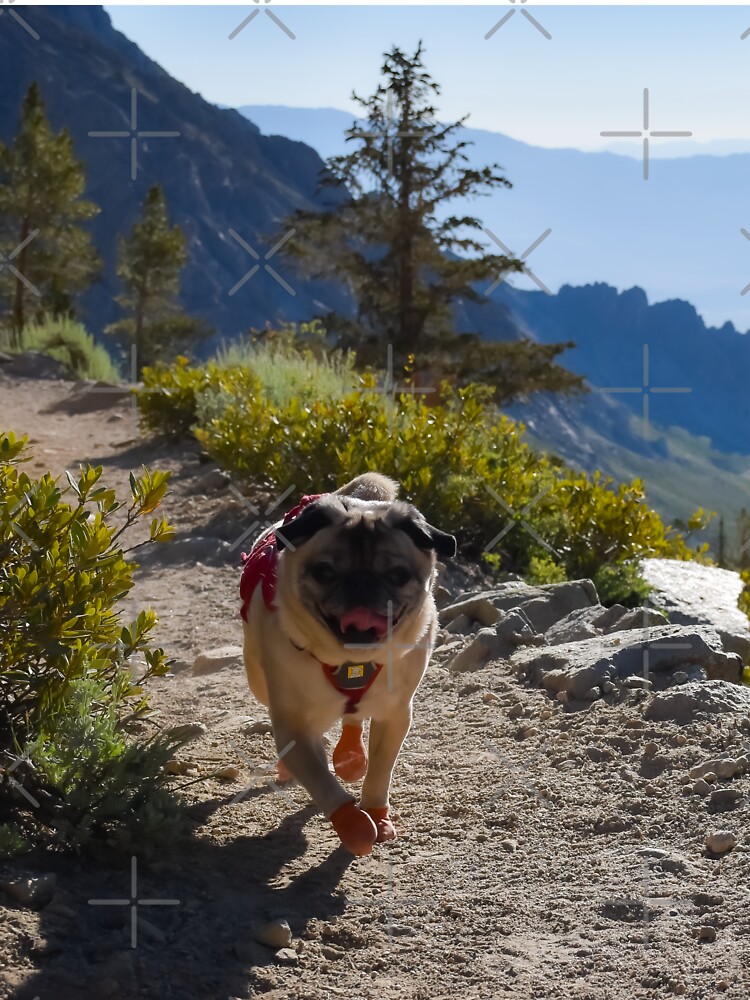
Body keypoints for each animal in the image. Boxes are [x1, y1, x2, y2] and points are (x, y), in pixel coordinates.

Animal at [239, 472, 458, 856]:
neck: (351, 661)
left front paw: (376, 813)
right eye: (324, 572)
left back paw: (352, 757)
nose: (362, 584)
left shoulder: (395, 715)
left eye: (398, 575)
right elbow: (322, 783)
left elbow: (381, 772)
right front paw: (354, 824)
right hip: (258, 680)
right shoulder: (295, 728)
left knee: (354, 719)